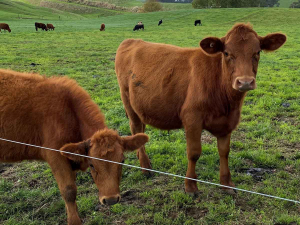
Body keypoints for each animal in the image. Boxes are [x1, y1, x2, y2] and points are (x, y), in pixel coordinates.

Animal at [0, 69, 149, 224]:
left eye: (122, 161)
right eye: (92, 164)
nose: (111, 199)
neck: (68, 113)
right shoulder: (55, 156)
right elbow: (69, 190)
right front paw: (74, 220)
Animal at [115, 23, 286, 195]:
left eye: (257, 52)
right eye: (226, 53)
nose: (245, 82)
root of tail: (132, 41)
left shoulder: (227, 122)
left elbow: (224, 152)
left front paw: (226, 184)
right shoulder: (192, 119)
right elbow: (194, 153)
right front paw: (190, 186)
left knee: (141, 132)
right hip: (128, 102)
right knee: (136, 128)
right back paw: (145, 167)